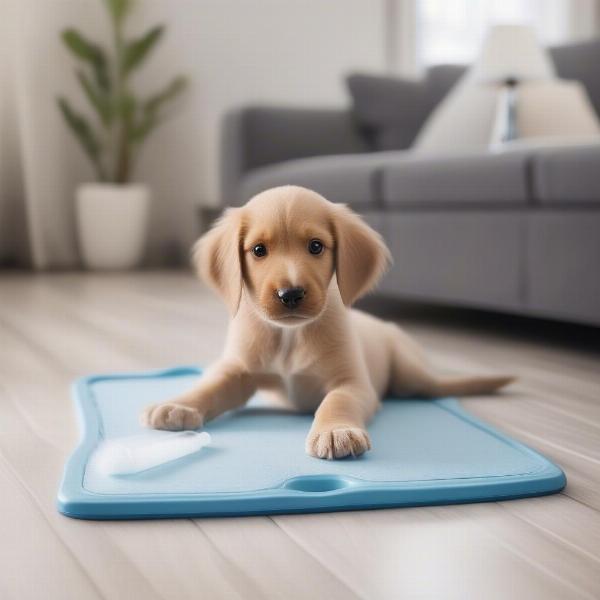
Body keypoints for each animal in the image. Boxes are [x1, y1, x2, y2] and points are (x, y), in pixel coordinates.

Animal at [141, 185, 510, 458]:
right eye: (259, 250)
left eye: (316, 246)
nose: (290, 294)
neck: (289, 337)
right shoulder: (237, 371)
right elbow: (211, 385)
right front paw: (180, 403)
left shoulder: (353, 383)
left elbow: (336, 401)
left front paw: (336, 431)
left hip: (409, 372)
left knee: (432, 385)